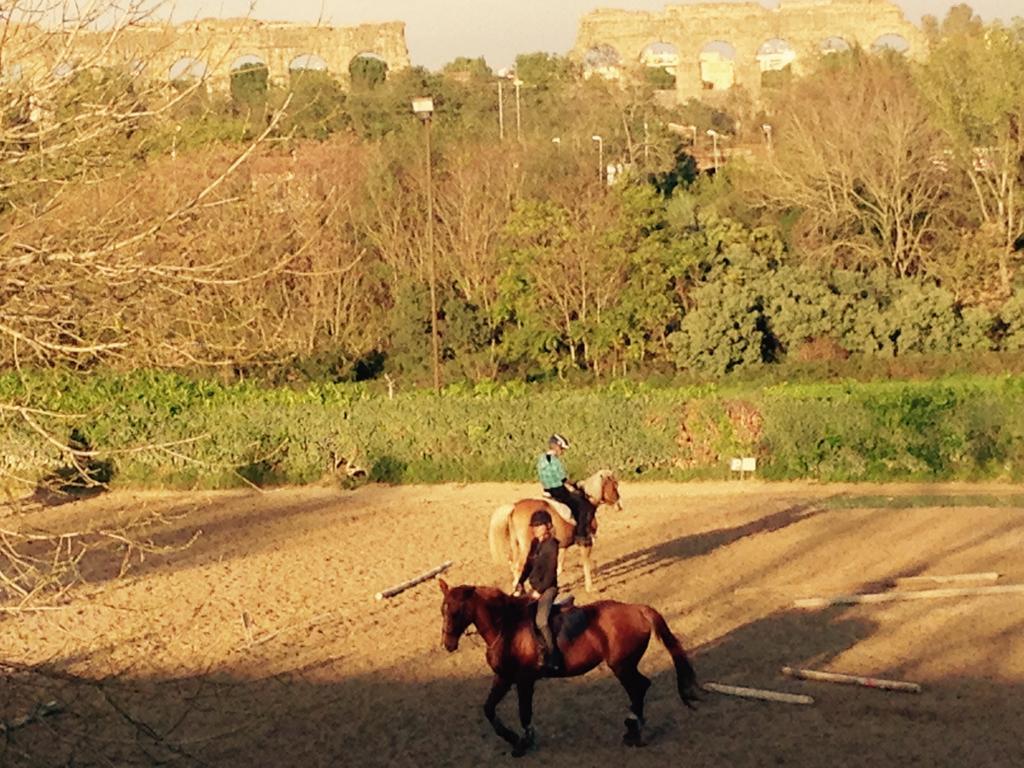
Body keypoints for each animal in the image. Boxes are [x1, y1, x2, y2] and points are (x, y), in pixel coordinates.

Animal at [436, 581, 700, 757]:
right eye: (442, 610)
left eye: (456, 611)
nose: (448, 644)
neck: (507, 627)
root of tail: (637, 609)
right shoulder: (504, 678)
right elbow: (489, 709)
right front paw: (513, 738)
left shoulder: (524, 680)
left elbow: (524, 711)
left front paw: (524, 741)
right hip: (624, 665)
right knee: (641, 687)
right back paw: (634, 727)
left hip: (621, 666)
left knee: (639, 687)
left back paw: (634, 731)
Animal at [485, 473, 618, 593]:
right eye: (614, 485)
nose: (618, 503)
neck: (588, 501)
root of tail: (514, 507)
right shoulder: (586, 541)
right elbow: (585, 562)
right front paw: (590, 588)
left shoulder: (563, 542)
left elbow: (559, 562)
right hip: (527, 547)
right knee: (519, 566)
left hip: (516, 544)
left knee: (513, 564)